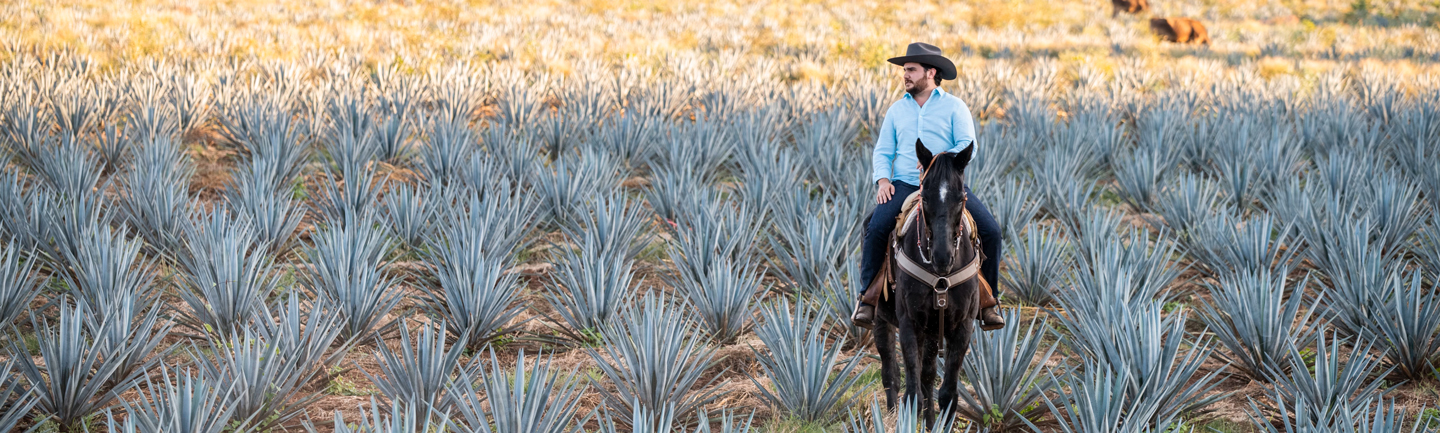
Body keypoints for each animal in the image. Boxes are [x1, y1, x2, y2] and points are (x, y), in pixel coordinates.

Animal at [858, 140, 984, 422]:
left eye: (961, 198)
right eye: (925, 197)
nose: (942, 256)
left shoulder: (962, 326)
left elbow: (946, 393)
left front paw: (936, 423)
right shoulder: (909, 322)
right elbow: (912, 392)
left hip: (932, 331)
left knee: (927, 377)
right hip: (882, 320)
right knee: (891, 373)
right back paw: (892, 416)